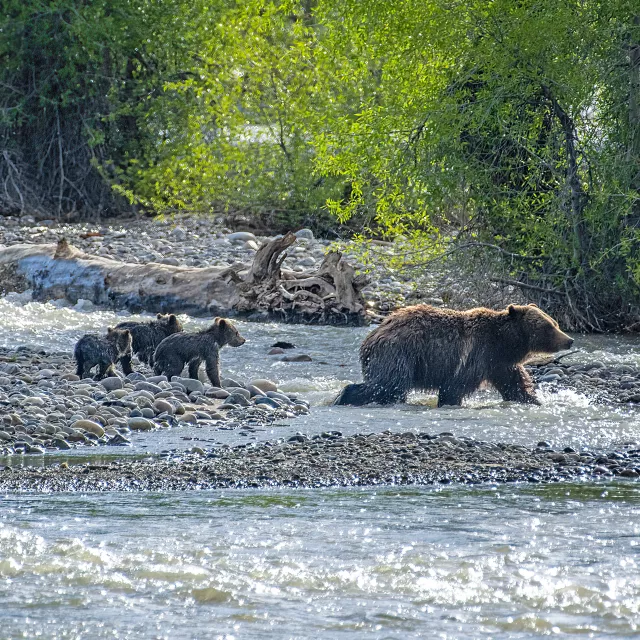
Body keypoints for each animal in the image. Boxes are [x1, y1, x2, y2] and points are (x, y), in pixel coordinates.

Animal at [334, 303, 574, 407]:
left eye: (555, 323)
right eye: (548, 326)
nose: (569, 340)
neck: (504, 342)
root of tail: (371, 337)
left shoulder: (500, 363)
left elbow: (516, 385)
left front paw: (533, 400)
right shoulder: (477, 355)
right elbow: (456, 385)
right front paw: (449, 402)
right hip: (398, 354)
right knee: (389, 385)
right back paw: (343, 396)